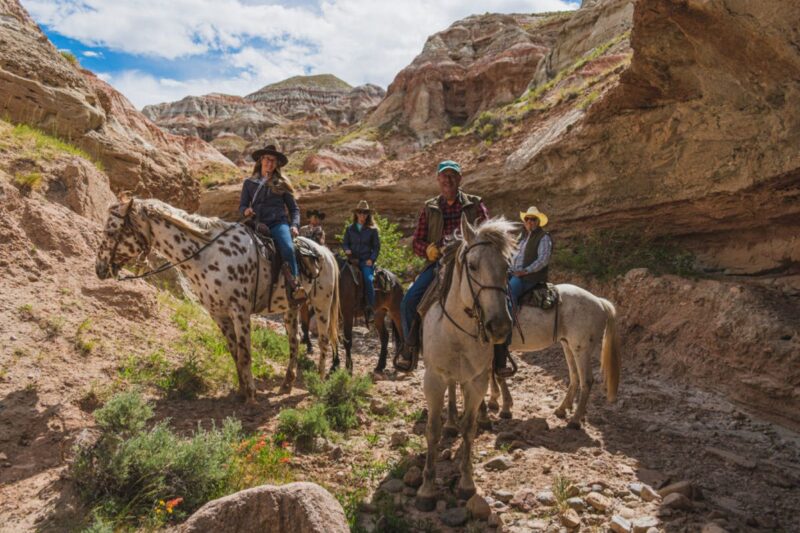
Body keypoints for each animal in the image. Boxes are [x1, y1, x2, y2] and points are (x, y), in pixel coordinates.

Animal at [95, 197, 340, 402]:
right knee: (294, 341)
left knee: (324, 341)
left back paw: (319, 380)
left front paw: (251, 395)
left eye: (111, 231)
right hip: (291, 308)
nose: (99, 268)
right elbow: (234, 353)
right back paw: (287, 383)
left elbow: (245, 353)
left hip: (321, 304)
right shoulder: (218, 314)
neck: (208, 255)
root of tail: (325, 252)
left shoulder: (240, 312)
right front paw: (241, 390)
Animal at [416, 215, 516, 508]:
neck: (458, 331)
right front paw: (427, 488)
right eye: (472, 266)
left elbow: (469, 430)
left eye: (508, 269)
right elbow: (433, 430)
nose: (499, 326)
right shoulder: (433, 379)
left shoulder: (476, 380)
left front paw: (466, 483)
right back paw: (451, 422)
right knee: (451, 391)